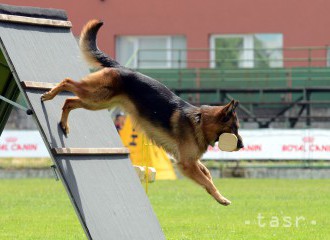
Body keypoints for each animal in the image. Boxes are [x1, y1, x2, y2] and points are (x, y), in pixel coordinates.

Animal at [40, 19, 242, 205]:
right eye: (234, 129)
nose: (241, 146)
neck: (200, 121)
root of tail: (121, 67)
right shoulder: (186, 163)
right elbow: (207, 181)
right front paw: (221, 198)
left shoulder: (188, 159)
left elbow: (206, 173)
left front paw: (214, 189)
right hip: (95, 95)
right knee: (67, 82)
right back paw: (49, 94)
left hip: (97, 102)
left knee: (69, 101)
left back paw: (64, 124)